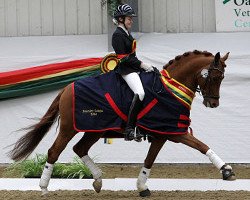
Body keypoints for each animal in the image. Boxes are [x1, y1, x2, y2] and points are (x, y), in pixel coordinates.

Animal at [7, 50, 234, 197]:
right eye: (215, 77)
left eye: (223, 77)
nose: (213, 103)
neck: (170, 89)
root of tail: (67, 88)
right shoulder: (174, 132)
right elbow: (202, 146)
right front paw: (227, 170)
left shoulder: (162, 134)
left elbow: (149, 160)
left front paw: (142, 187)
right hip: (70, 127)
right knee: (55, 151)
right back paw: (44, 188)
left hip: (95, 130)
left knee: (80, 148)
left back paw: (98, 180)